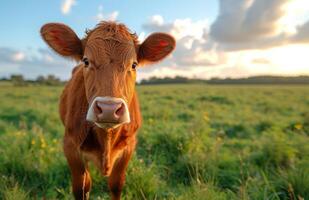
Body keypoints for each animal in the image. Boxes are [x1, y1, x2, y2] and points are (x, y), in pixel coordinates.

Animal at [40, 21, 176, 199]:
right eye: (86, 61)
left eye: (134, 64)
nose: (108, 109)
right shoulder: (70, 146)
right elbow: (81, 187)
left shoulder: (129, 147)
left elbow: (116, 184)